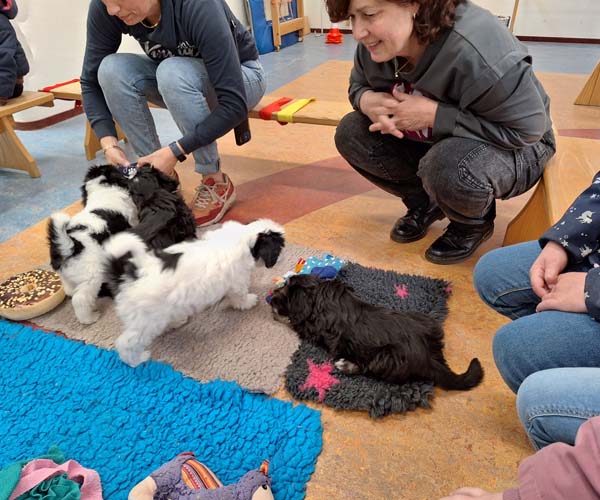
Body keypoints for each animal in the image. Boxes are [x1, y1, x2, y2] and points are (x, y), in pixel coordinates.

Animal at [48, 164, 138, 324]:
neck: (102, 189)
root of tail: (73, 245)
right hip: (91, 277)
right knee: (80, 299)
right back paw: (89, 318)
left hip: (65, 274)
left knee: (69, 290)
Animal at [104, 219, 285, 367]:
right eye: (279, 250)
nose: (282, 259)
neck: (243, 237)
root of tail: (129, 276)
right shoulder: (238, 281)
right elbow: (240, 296)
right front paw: (249, 301)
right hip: (145, 320)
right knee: (127, 342)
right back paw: (136, 360)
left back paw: (176, 321)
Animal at [269, 274, 483, 390]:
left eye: (286, 292)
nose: (271, 298)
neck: (318, 294)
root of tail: (431, 357)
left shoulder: (311, 328)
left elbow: (293, 321)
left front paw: (276, 312)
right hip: (427, 321)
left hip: (386, 358)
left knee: (369, 369)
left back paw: (346, 365)